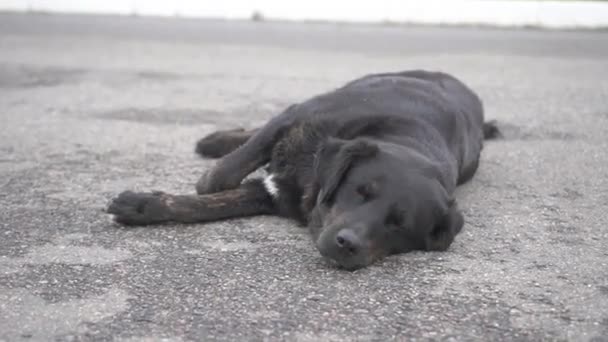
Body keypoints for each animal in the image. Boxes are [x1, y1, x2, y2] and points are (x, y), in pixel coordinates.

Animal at [108, 71, 498, 272]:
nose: (348, 244)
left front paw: (144, 205)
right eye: (360, 191)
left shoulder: (271, 195)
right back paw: (215, 141)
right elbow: (219, 180)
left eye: (399, 224)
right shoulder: (293, 117)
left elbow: (205, 206)